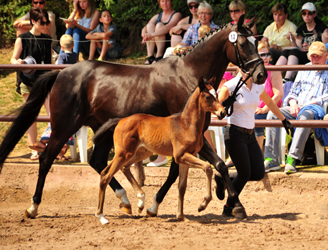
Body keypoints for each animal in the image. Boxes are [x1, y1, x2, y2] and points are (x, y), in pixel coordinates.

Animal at [95, 77, 226, 224]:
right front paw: (203, 204)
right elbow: (208, 168)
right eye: (208, 96)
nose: (222, 112)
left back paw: (140, 202)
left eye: (217, 94)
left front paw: (181, 216)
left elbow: (182, 186)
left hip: (140, 152)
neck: (186, 125)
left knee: (119, 169)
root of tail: (120, 120)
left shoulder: (185, 159)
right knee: (106, 176)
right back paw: (101, 216)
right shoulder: (180, 156)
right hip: (123, 153)